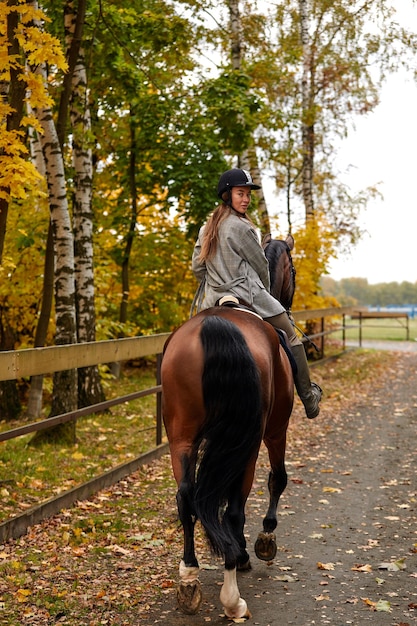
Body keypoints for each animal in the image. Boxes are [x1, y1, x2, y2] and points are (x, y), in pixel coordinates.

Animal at [161, 298, 294, 616]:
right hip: (248, 444)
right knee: (234, 510)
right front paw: (265, 538)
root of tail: (216, 323)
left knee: (186, 497)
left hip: (181, 437)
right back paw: (232, 593)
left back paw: (189, 577)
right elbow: (278, 479)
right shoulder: (276, 430)